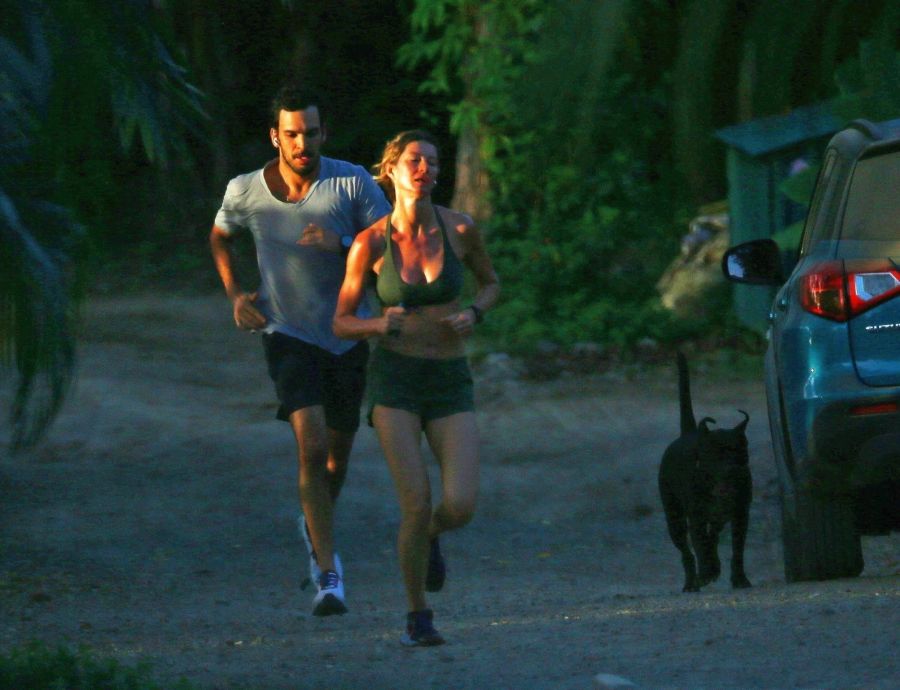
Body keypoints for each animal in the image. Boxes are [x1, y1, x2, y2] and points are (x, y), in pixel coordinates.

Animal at [656, 352, 756, 588]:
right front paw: (708, 571)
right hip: (674, 518)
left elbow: (737, 549)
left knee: (713, 537)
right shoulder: (697, 516)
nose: (732, 469)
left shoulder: (740, 513)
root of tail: (688, 433)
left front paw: (739, 579)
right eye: (716, 455)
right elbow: (701, 546)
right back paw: (692, 583)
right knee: (686, 551)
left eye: (740, 451)